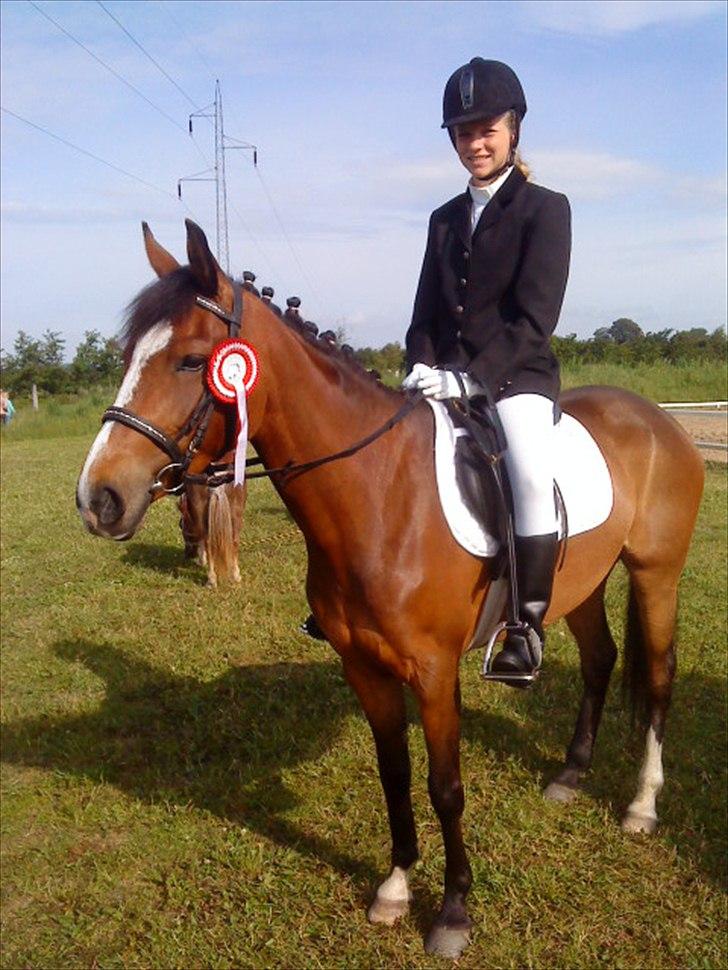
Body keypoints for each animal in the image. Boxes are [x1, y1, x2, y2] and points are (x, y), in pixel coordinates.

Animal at [76, 219, 704, 959]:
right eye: (126, 354)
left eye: (191, 360)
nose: (98, 499)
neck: (377, 494)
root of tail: (656, 418)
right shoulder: (364, 667)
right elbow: (395, 774)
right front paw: (397, 887)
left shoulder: (432, 671)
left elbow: (445, 785)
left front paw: (454, 911)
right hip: (579, 583)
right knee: (601, 660)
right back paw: (570, 776)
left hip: (656, 574)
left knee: (658, 675)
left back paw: (641, 805)